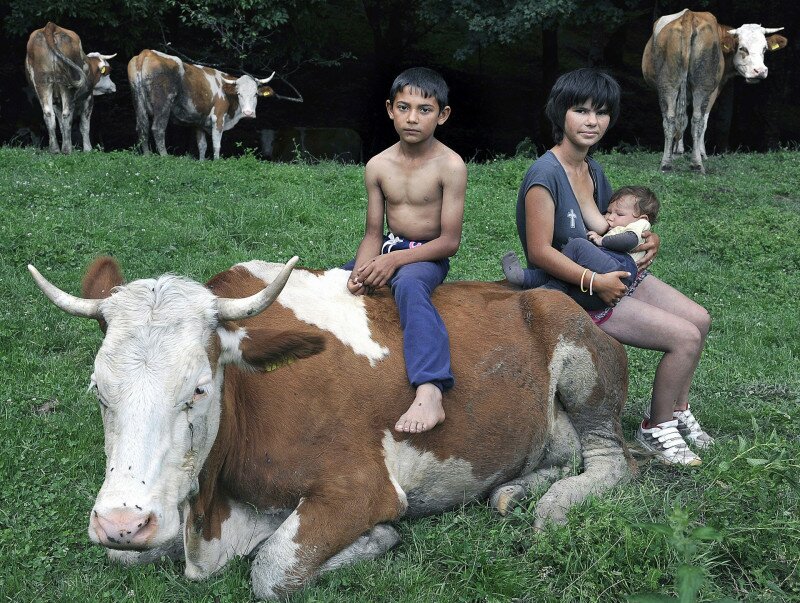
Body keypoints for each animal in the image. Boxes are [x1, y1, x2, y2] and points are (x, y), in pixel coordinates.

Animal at [25, 23, 117, 156]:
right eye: (107, 73)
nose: (114, 86)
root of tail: (50, 26)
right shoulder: (88, 99)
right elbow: (84, 126)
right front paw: (88, 149)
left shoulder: (57, 103)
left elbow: (61, 126)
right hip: (67, 86)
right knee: (66, 114)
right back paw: (67, 150)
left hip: (42, 84)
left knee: (48, 114)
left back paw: (55, 149)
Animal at [28, 258, 636, 600]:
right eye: (99, 389)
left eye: (197, 389)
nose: (121, 522)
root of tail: (538, 291)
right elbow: (127, 556)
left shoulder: (360, 487)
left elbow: (272, 570)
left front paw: (377, 539)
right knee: (561, 455)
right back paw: (515, 490)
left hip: (585, 364)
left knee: (612, 459)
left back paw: (554, 503)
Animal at [126, 49, 274, 159]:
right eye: (239, 93)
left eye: (255, 94)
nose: (248, 113)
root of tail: (146, 53)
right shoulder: (218, 117)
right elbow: (216, 144)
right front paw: (216, 162)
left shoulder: (199, 122)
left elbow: (202, 145)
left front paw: (202, 162)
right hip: (163, 104)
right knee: (158, 128)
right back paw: (164, 156)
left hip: (137, 101)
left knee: (142, 127)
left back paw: (146, 155)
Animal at [640, 10, 784, 175]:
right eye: (742, 48)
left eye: (764, 48)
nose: (760, 71)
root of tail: (689, 15)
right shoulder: (714, 88)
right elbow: (702, 119)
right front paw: (697, 152)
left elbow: (682, 118)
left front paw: (677, 151)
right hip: (702, 85)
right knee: (697, 120)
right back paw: (696, 162)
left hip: (669, 85)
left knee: (672, 119)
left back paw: (668, 163)